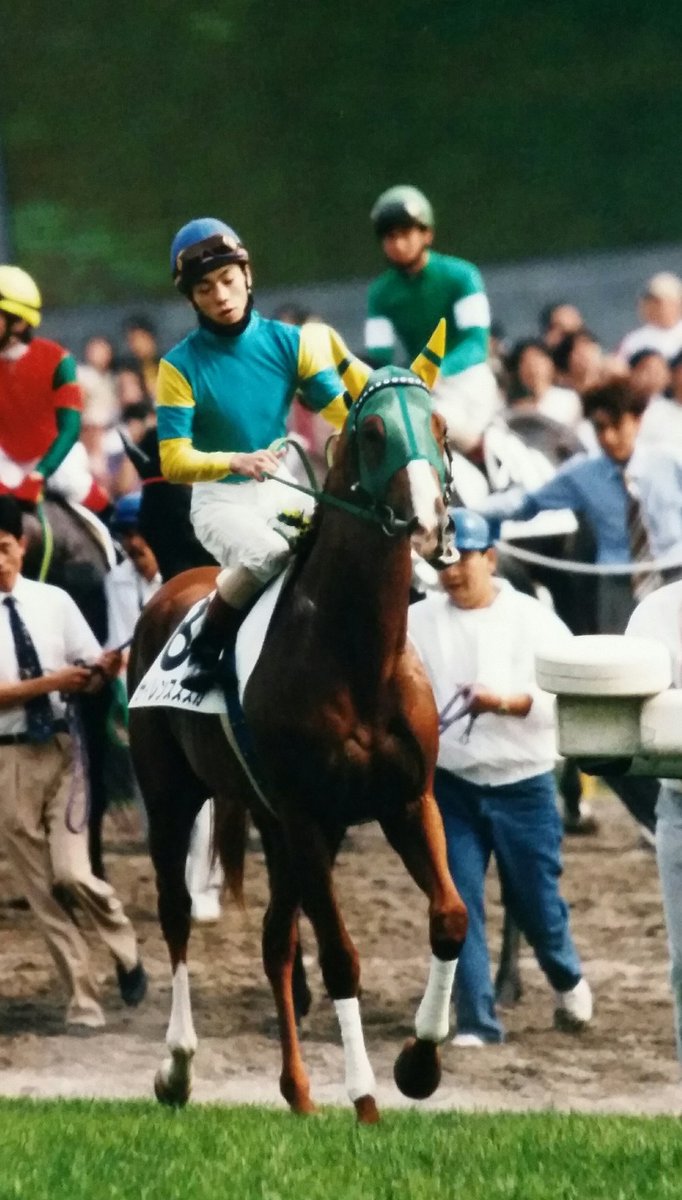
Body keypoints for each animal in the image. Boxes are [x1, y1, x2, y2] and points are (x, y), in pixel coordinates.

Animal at [128, 323, 468, 1123]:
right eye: (373, 432)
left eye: (440, 427)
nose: (431, 525)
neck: (355, 653)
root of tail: (171, 591)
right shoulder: (311, 815)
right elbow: (341, 955)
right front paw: (368, 1098)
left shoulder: (405, 801)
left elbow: (449, 916)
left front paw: (419, 1065)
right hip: (171, 797)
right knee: (175, 915)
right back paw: (177, 1068)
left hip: (274, 823)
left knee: (275, 941)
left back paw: (299, 1092)